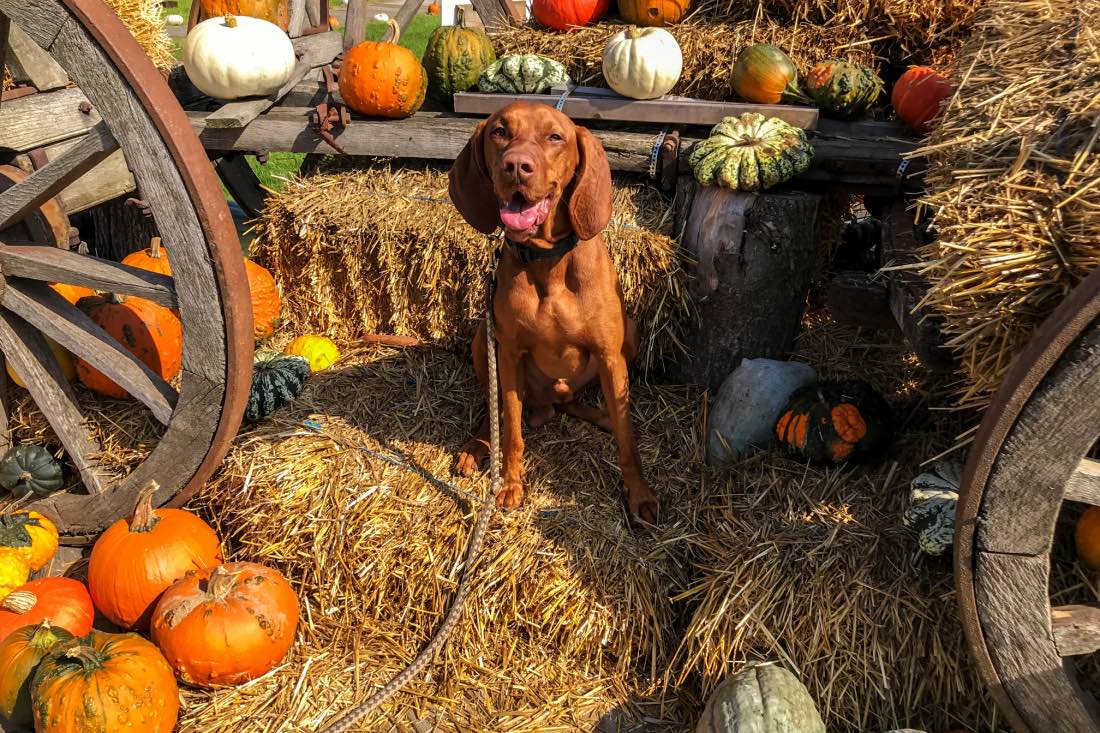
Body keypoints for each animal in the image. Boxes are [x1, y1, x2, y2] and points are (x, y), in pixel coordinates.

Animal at [446, 102, 660, 526]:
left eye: (555, 137)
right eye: (499, 131)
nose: (516, 166)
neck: (548, 261)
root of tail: (546, 407)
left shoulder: (611, 356)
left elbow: (627, 442)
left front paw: (640, 494)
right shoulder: (508, 354)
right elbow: (511, 431)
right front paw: (510, 485)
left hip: (630, 333)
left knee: (583, 405)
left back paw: (604, 417)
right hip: (484, 341)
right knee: (497, 411)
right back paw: (477, 444)